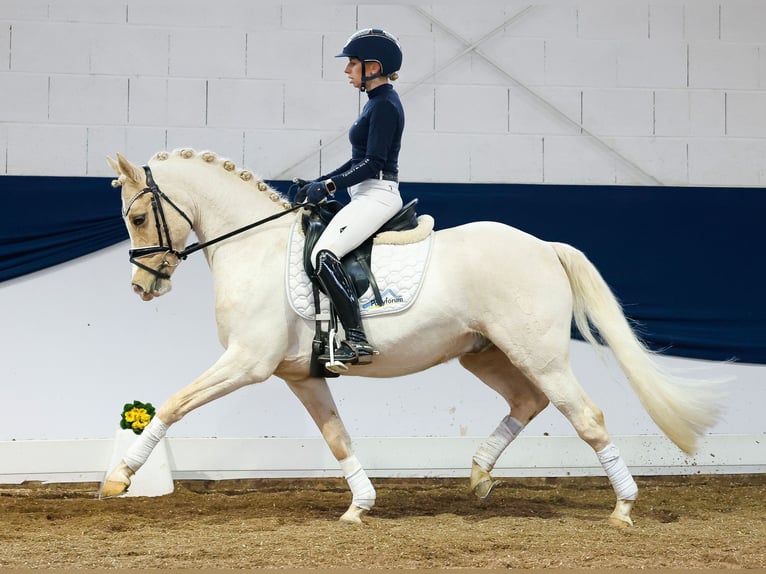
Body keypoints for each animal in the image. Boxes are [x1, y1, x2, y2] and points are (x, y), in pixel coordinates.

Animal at [103, 150, 728, 532]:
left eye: (138, 217)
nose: (141, 286)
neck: (252, 247)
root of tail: (544, 246)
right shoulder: (301, 376)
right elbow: (336, 438)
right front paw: (360, 506)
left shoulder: (245, 363)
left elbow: (174, 403)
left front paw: (120, 476)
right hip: (483, 353)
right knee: (528, 401)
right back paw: (479, 477)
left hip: (538, 353)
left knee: (586, 415)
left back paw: (622, 508)